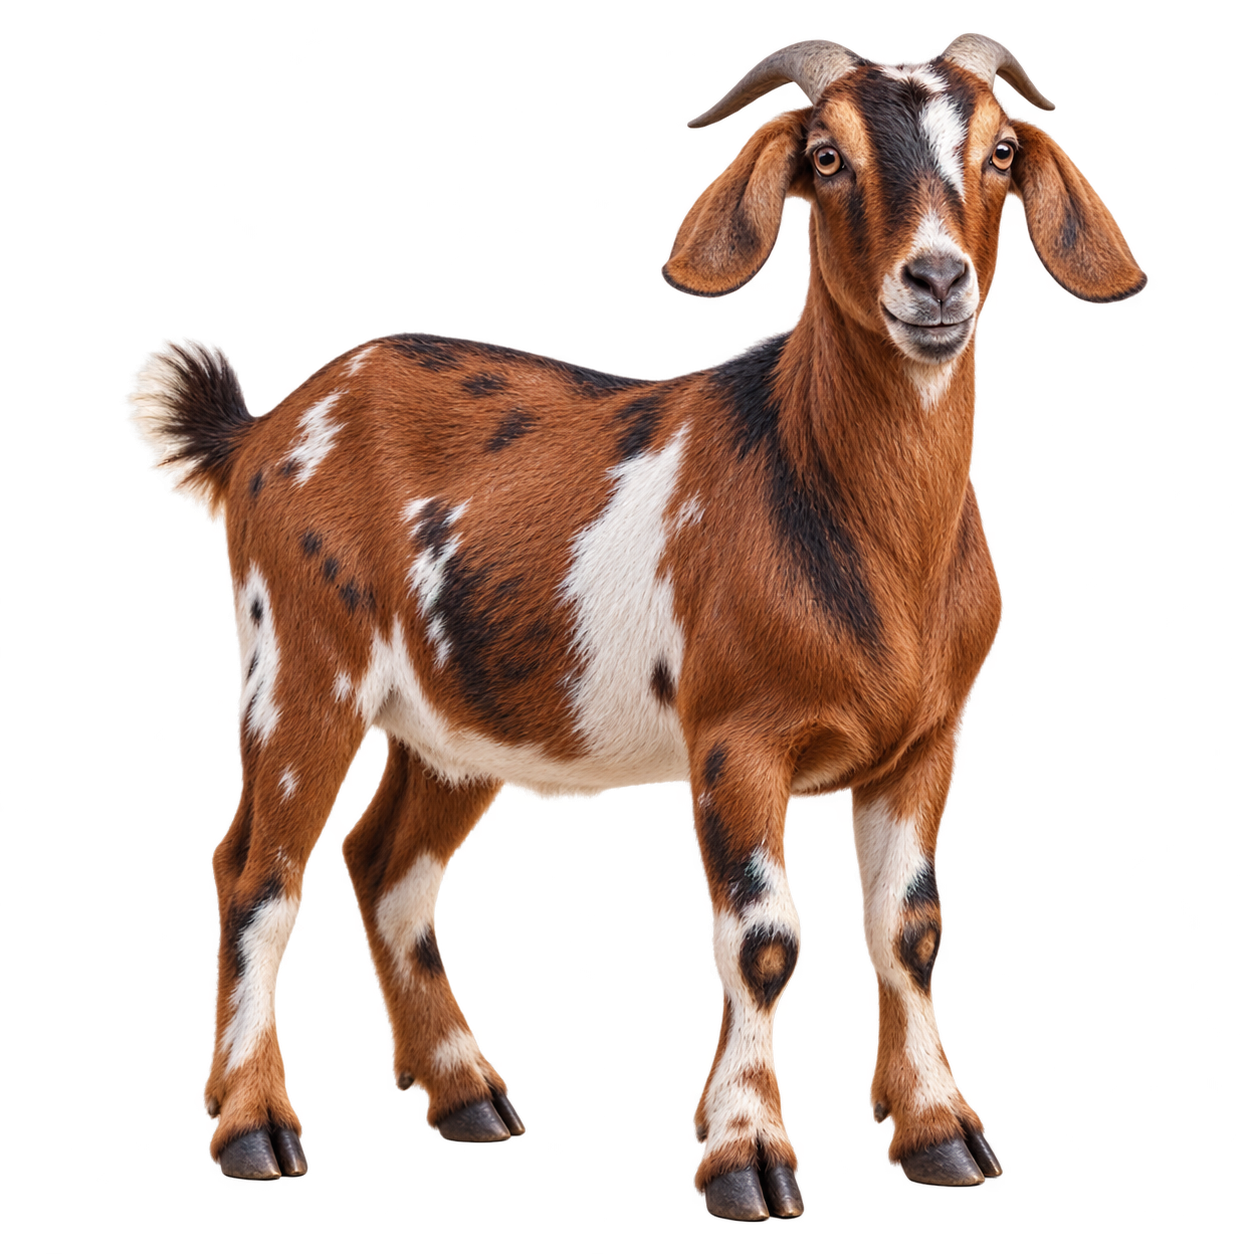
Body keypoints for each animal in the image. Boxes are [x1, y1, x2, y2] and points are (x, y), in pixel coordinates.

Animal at [121, 30, 1145, 1219]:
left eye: (1001, 151)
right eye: (827, 158)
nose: (936, 279)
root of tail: (262, 435)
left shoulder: (930, 740)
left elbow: (912, 929)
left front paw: (939, 1131)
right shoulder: (737, 738)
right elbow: (762, 940)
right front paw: (747, 1155)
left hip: (457, 722)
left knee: (385, 862)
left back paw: (467, 1092)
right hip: (297, 669)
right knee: (256, 870)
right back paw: (254, 1127)